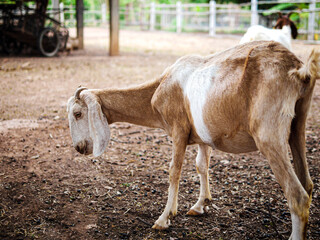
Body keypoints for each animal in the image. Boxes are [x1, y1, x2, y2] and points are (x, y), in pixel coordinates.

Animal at [66, 41, 318, 240]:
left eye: (77, 114)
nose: (79, 147)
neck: (158, 88)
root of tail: (298, 69)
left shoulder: (179, 129)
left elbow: (174, 170)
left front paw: (164, 218)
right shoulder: (203, 135)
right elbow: (201, 165)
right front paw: (200, 205)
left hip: (268, 133)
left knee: (297, 195)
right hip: (298, 123)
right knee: (307, 183)